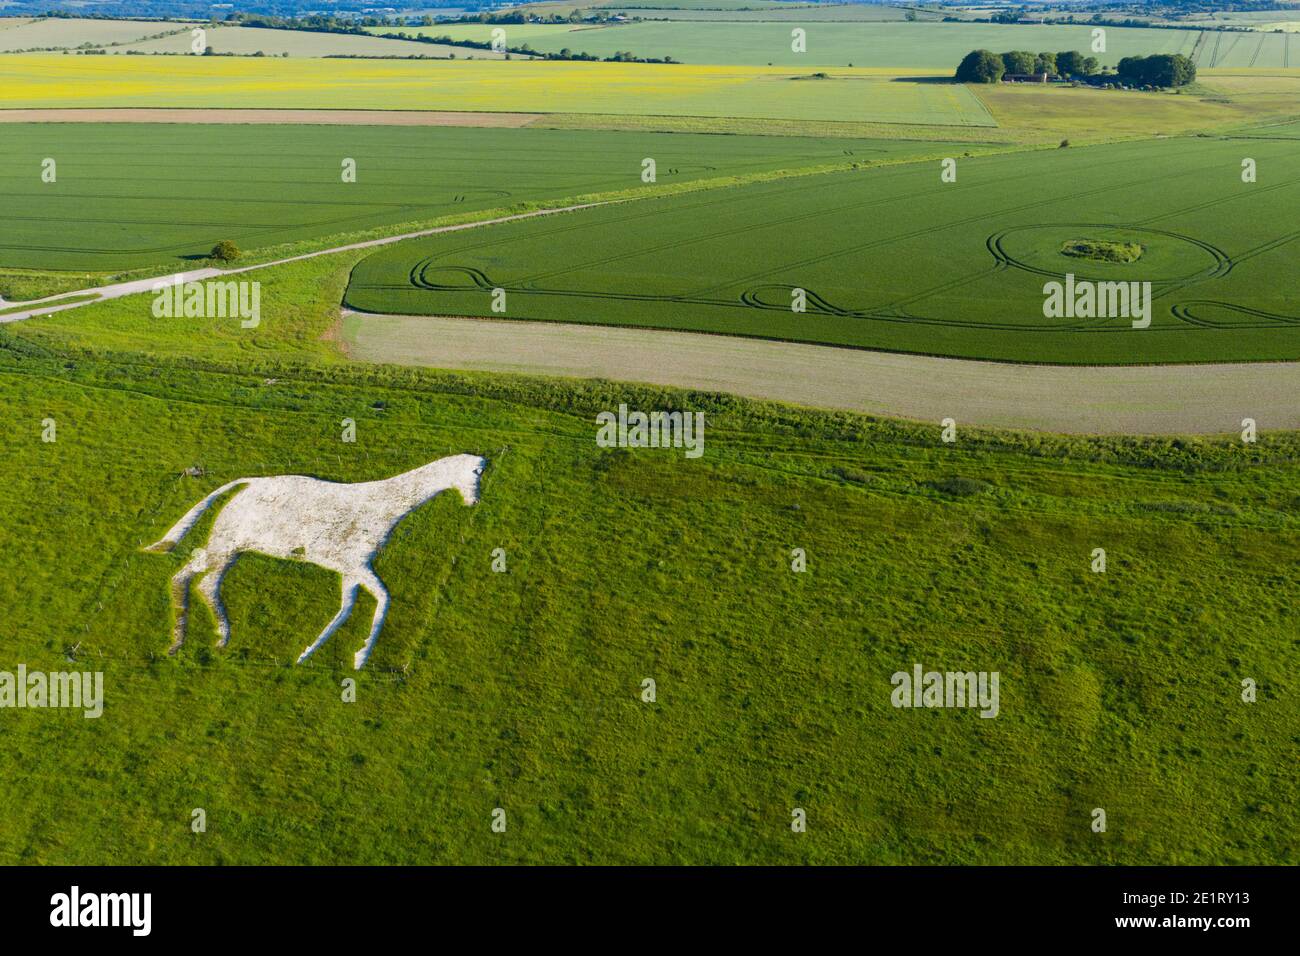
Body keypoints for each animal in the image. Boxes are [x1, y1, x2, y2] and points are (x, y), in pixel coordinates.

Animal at [144, 454, 486, 669]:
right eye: (474, 474)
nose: (474, 501)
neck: (383, 507)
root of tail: (246, 483)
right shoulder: (354, 566)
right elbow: (379, 600)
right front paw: (348, 656)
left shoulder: (352, 569)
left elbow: (352, 606)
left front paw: (330, 656)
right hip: (226, 545)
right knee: (193, 578)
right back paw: (196, 640)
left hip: (232, 549)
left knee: (198, 579)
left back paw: (203, 641)